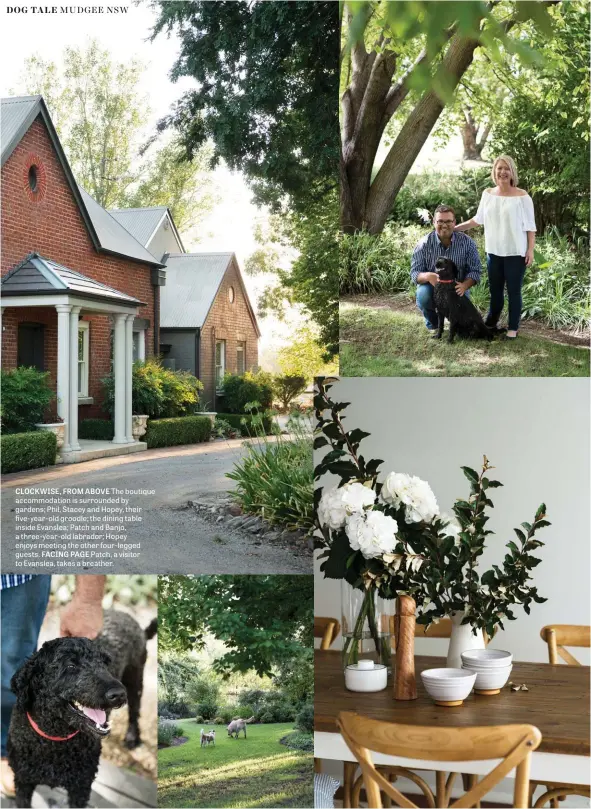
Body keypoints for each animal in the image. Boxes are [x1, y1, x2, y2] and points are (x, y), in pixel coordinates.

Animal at [8, 608, 156, 804]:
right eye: (71, 665)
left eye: (105, 662)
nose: (118, 694)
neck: (54, 740)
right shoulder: (23, 782)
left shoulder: (81, 787)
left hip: (135, 680)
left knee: (134, 712)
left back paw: (132, 738)